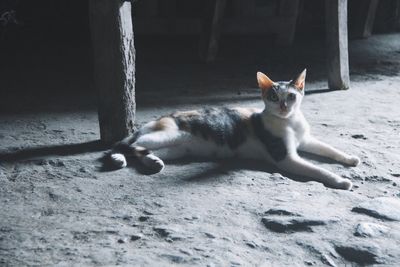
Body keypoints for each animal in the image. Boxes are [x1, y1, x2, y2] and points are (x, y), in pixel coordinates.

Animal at [107, 69, 360, 191]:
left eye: (291, 96)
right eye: (273, 97)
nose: (283, 106)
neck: (290, 122)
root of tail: (162, 117)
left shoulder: (305, 140)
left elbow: (330, 149)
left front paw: (350, 159)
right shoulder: (285, 157)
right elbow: (318, 170)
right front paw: (340, 181)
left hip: (177, 148)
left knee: (140, 150)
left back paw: (151, 161)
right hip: (168, 134)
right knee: (128, 144)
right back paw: (119, 156)